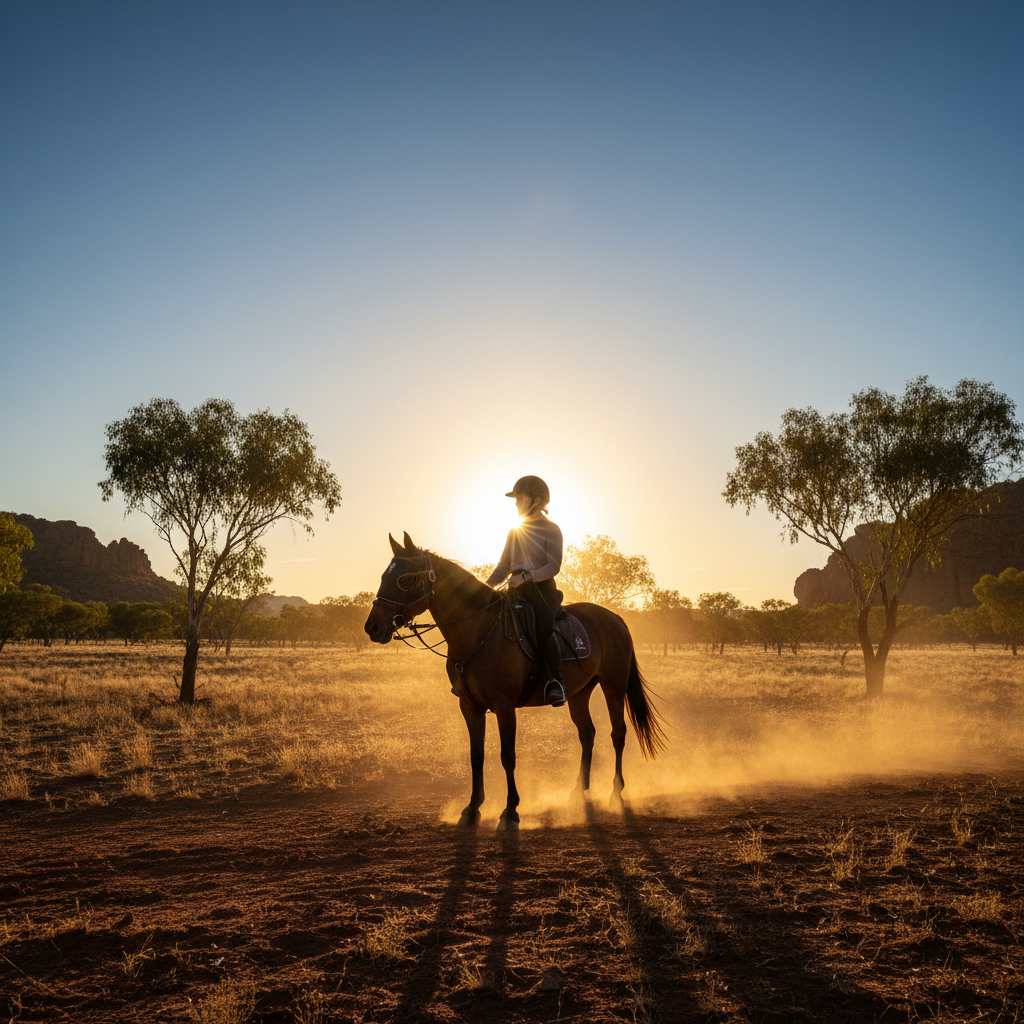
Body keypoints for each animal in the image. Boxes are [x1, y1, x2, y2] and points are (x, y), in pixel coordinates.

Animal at [363, 532, 666, 829]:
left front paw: (510, 811)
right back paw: (579, 792)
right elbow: (476, 756)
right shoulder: (470, 707)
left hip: (614, 686)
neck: (480, 630)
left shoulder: (504, 706)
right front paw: (472, 808)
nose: (373, 627)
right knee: (587, 734)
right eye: (384, 576)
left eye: (404, 579)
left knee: (618, 734)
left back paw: (616, 791)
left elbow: (507, 756)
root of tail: (615, 618)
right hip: (579, 693)